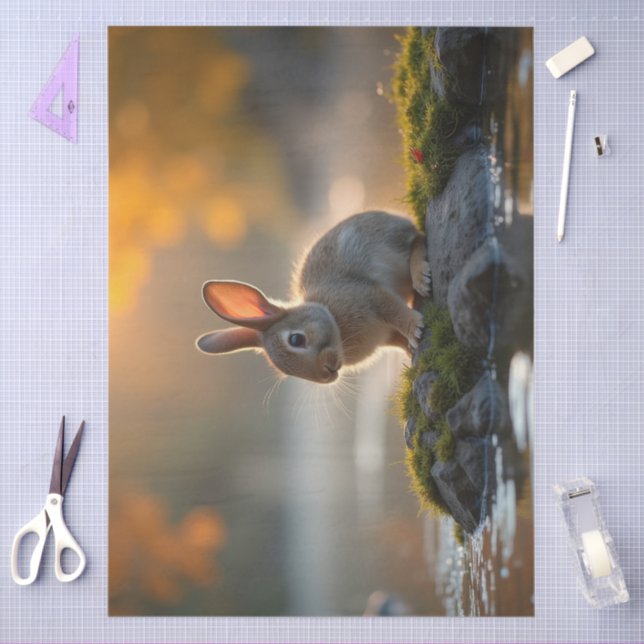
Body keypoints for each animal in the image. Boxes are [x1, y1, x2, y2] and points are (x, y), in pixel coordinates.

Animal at [196, 210, 431, 384]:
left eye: (296, 339)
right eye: (288, 372)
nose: (327, 374)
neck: (335, 322)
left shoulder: (368, 295)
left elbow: (395, 311)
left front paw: (414, 328)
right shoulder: (385, 336)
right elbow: (399, 339)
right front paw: (410, 351)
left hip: (391, 242)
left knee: (417, 240)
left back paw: (421, 277)